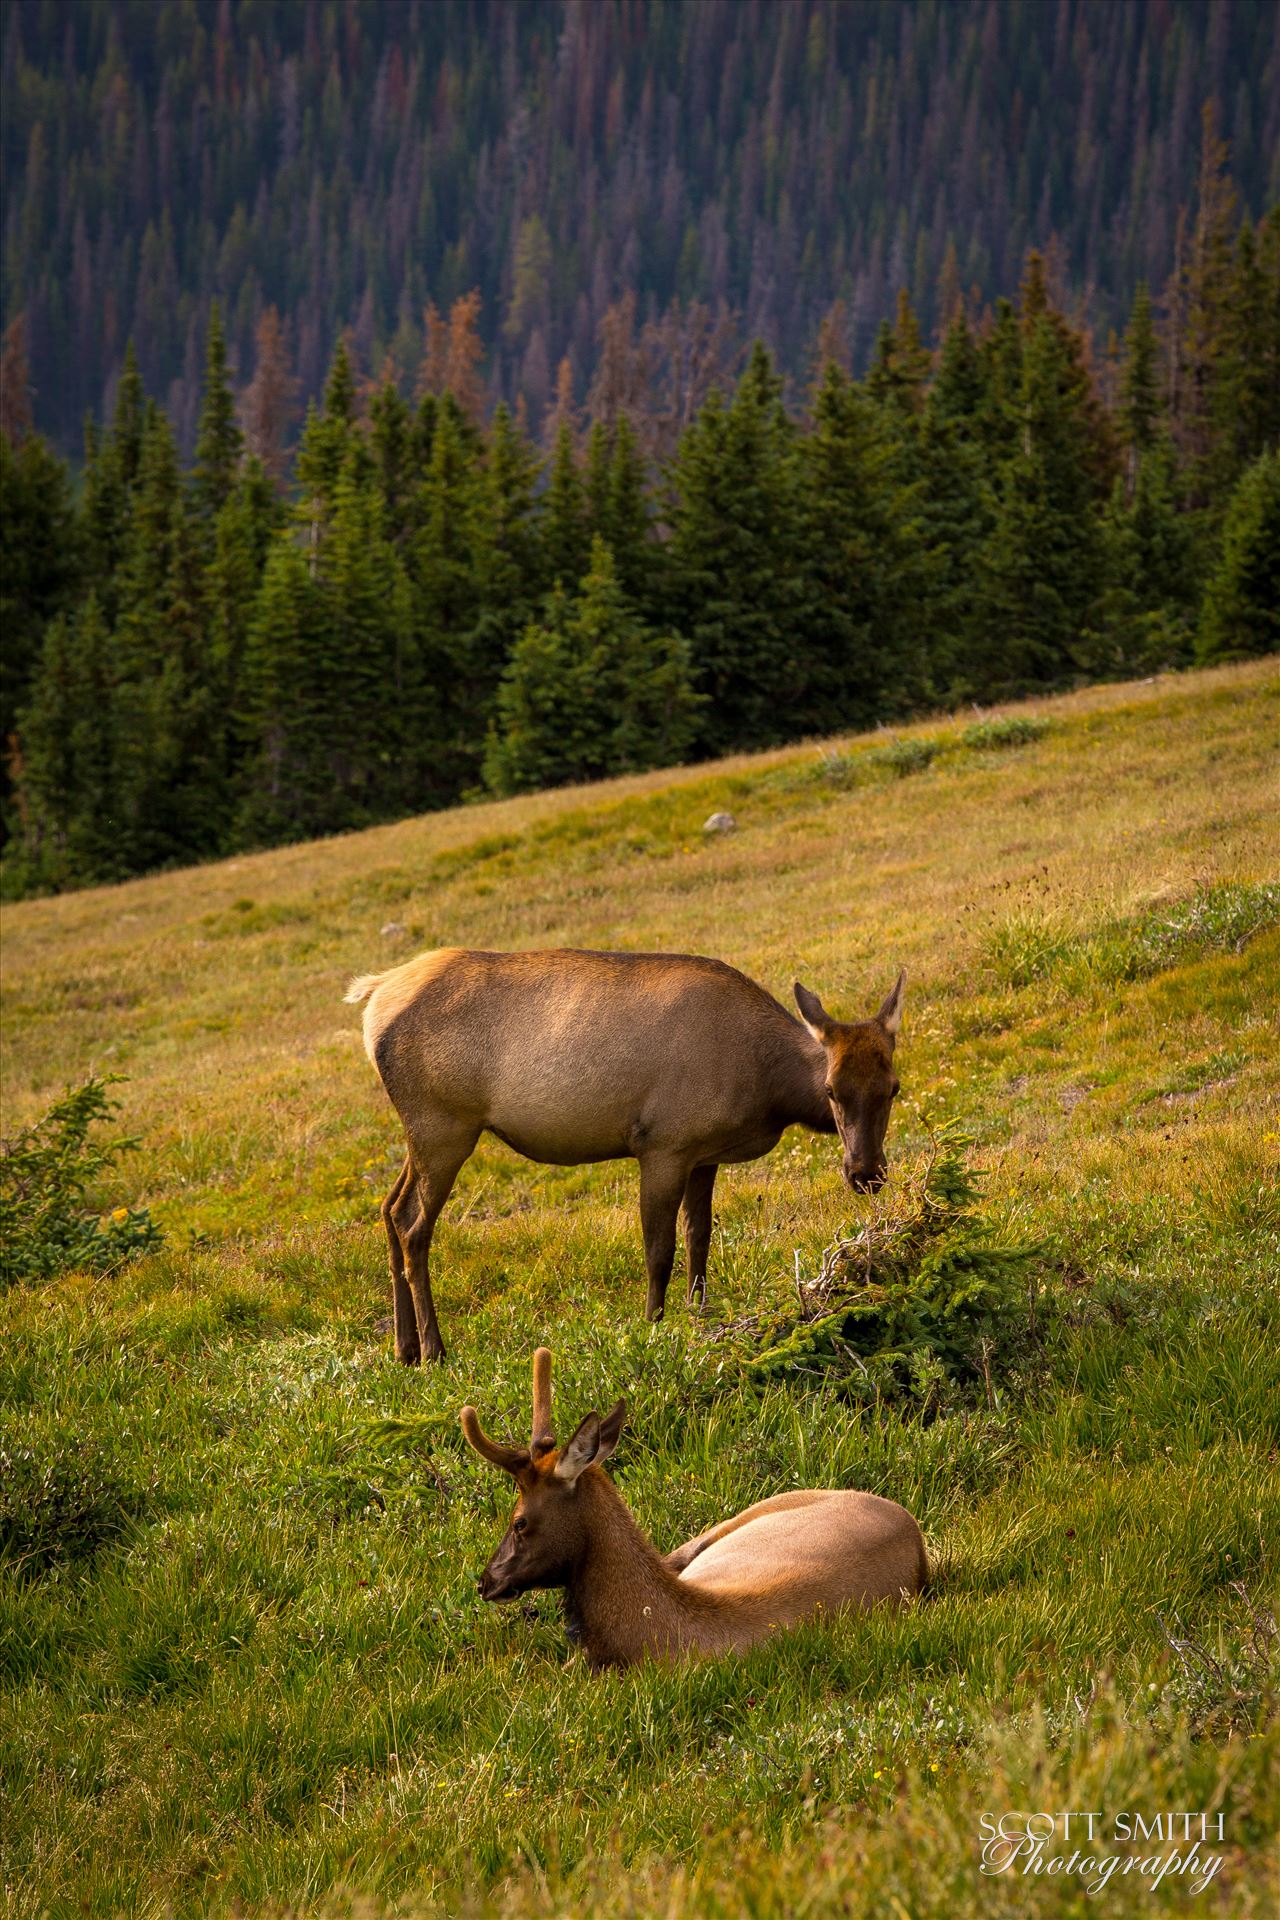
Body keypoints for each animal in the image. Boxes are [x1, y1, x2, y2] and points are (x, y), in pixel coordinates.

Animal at [345, 944, 905, 1367]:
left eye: (894, 1088)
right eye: (831, 1090)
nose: (865, 1172)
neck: (767, 1089)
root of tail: (373, 1001)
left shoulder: (705, 1155)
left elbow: (700, 1238)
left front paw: (699, 1314)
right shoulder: (663, 1144)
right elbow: (659, 1250)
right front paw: (654, 1324)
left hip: (423, 1134)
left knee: (389, 1209)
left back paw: (404, 1348)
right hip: (444, 1126)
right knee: (414, 1226)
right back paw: (435, 1349)